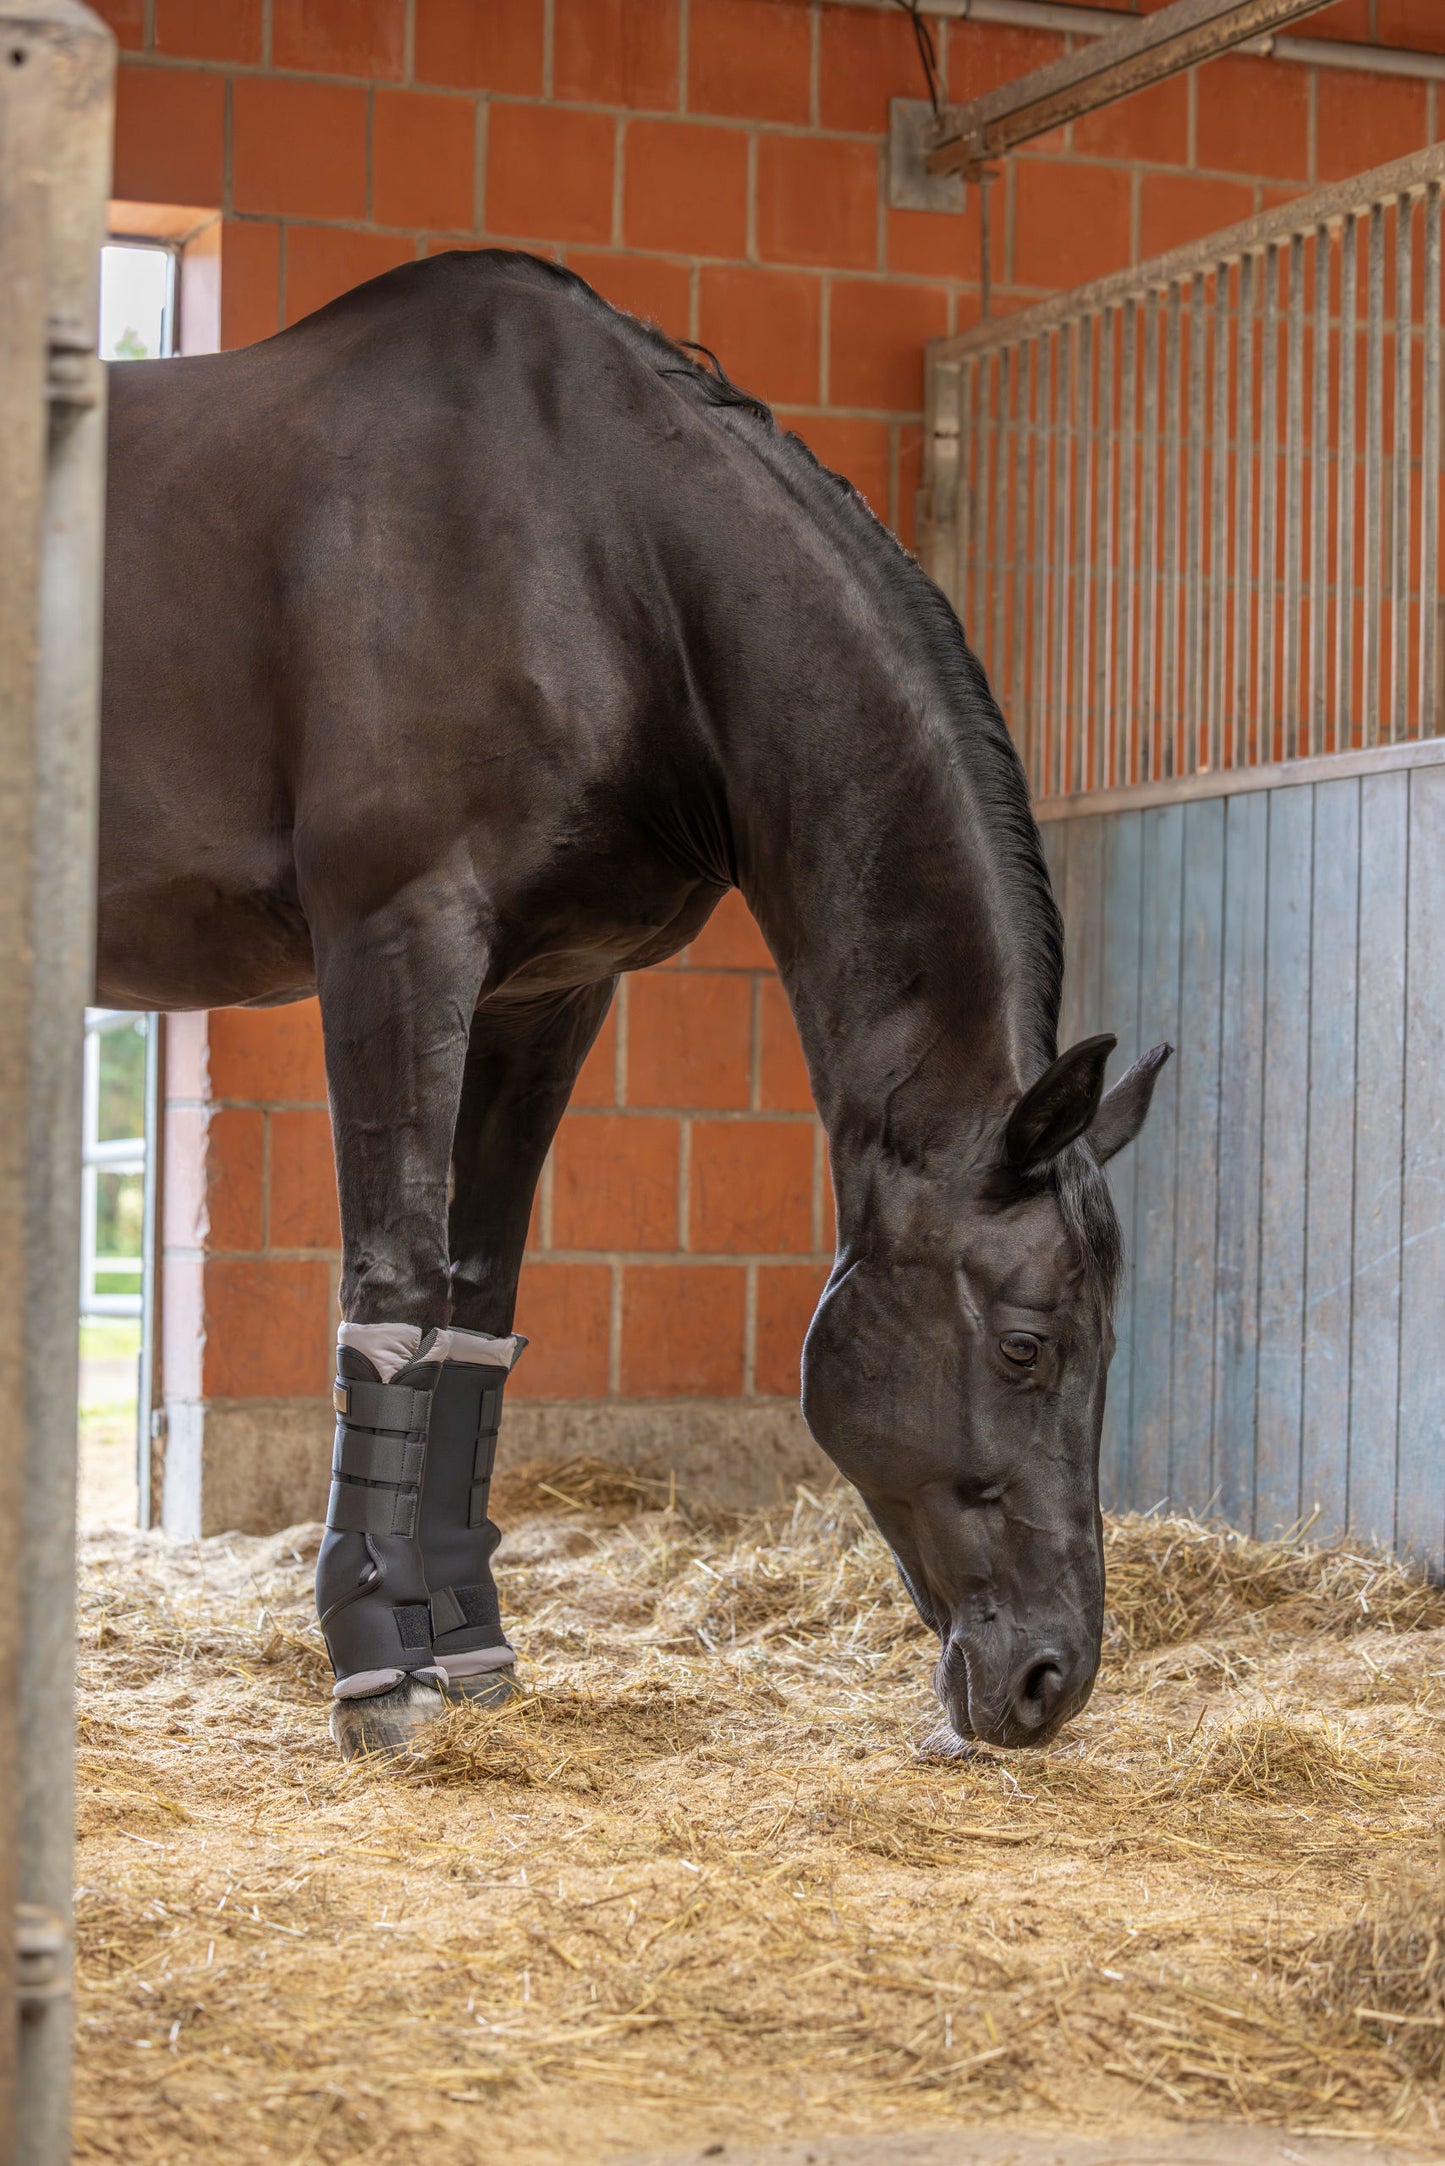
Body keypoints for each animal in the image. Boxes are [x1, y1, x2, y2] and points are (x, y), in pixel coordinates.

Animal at [100, 250, 1169, 1759]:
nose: (1047, 1681)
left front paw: (466, 1643)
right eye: (1026, 1345)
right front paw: (377, 1660)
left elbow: (476, 1303)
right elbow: (396, 1282)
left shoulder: (548, 988)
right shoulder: (398, 938)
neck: (602, 557)